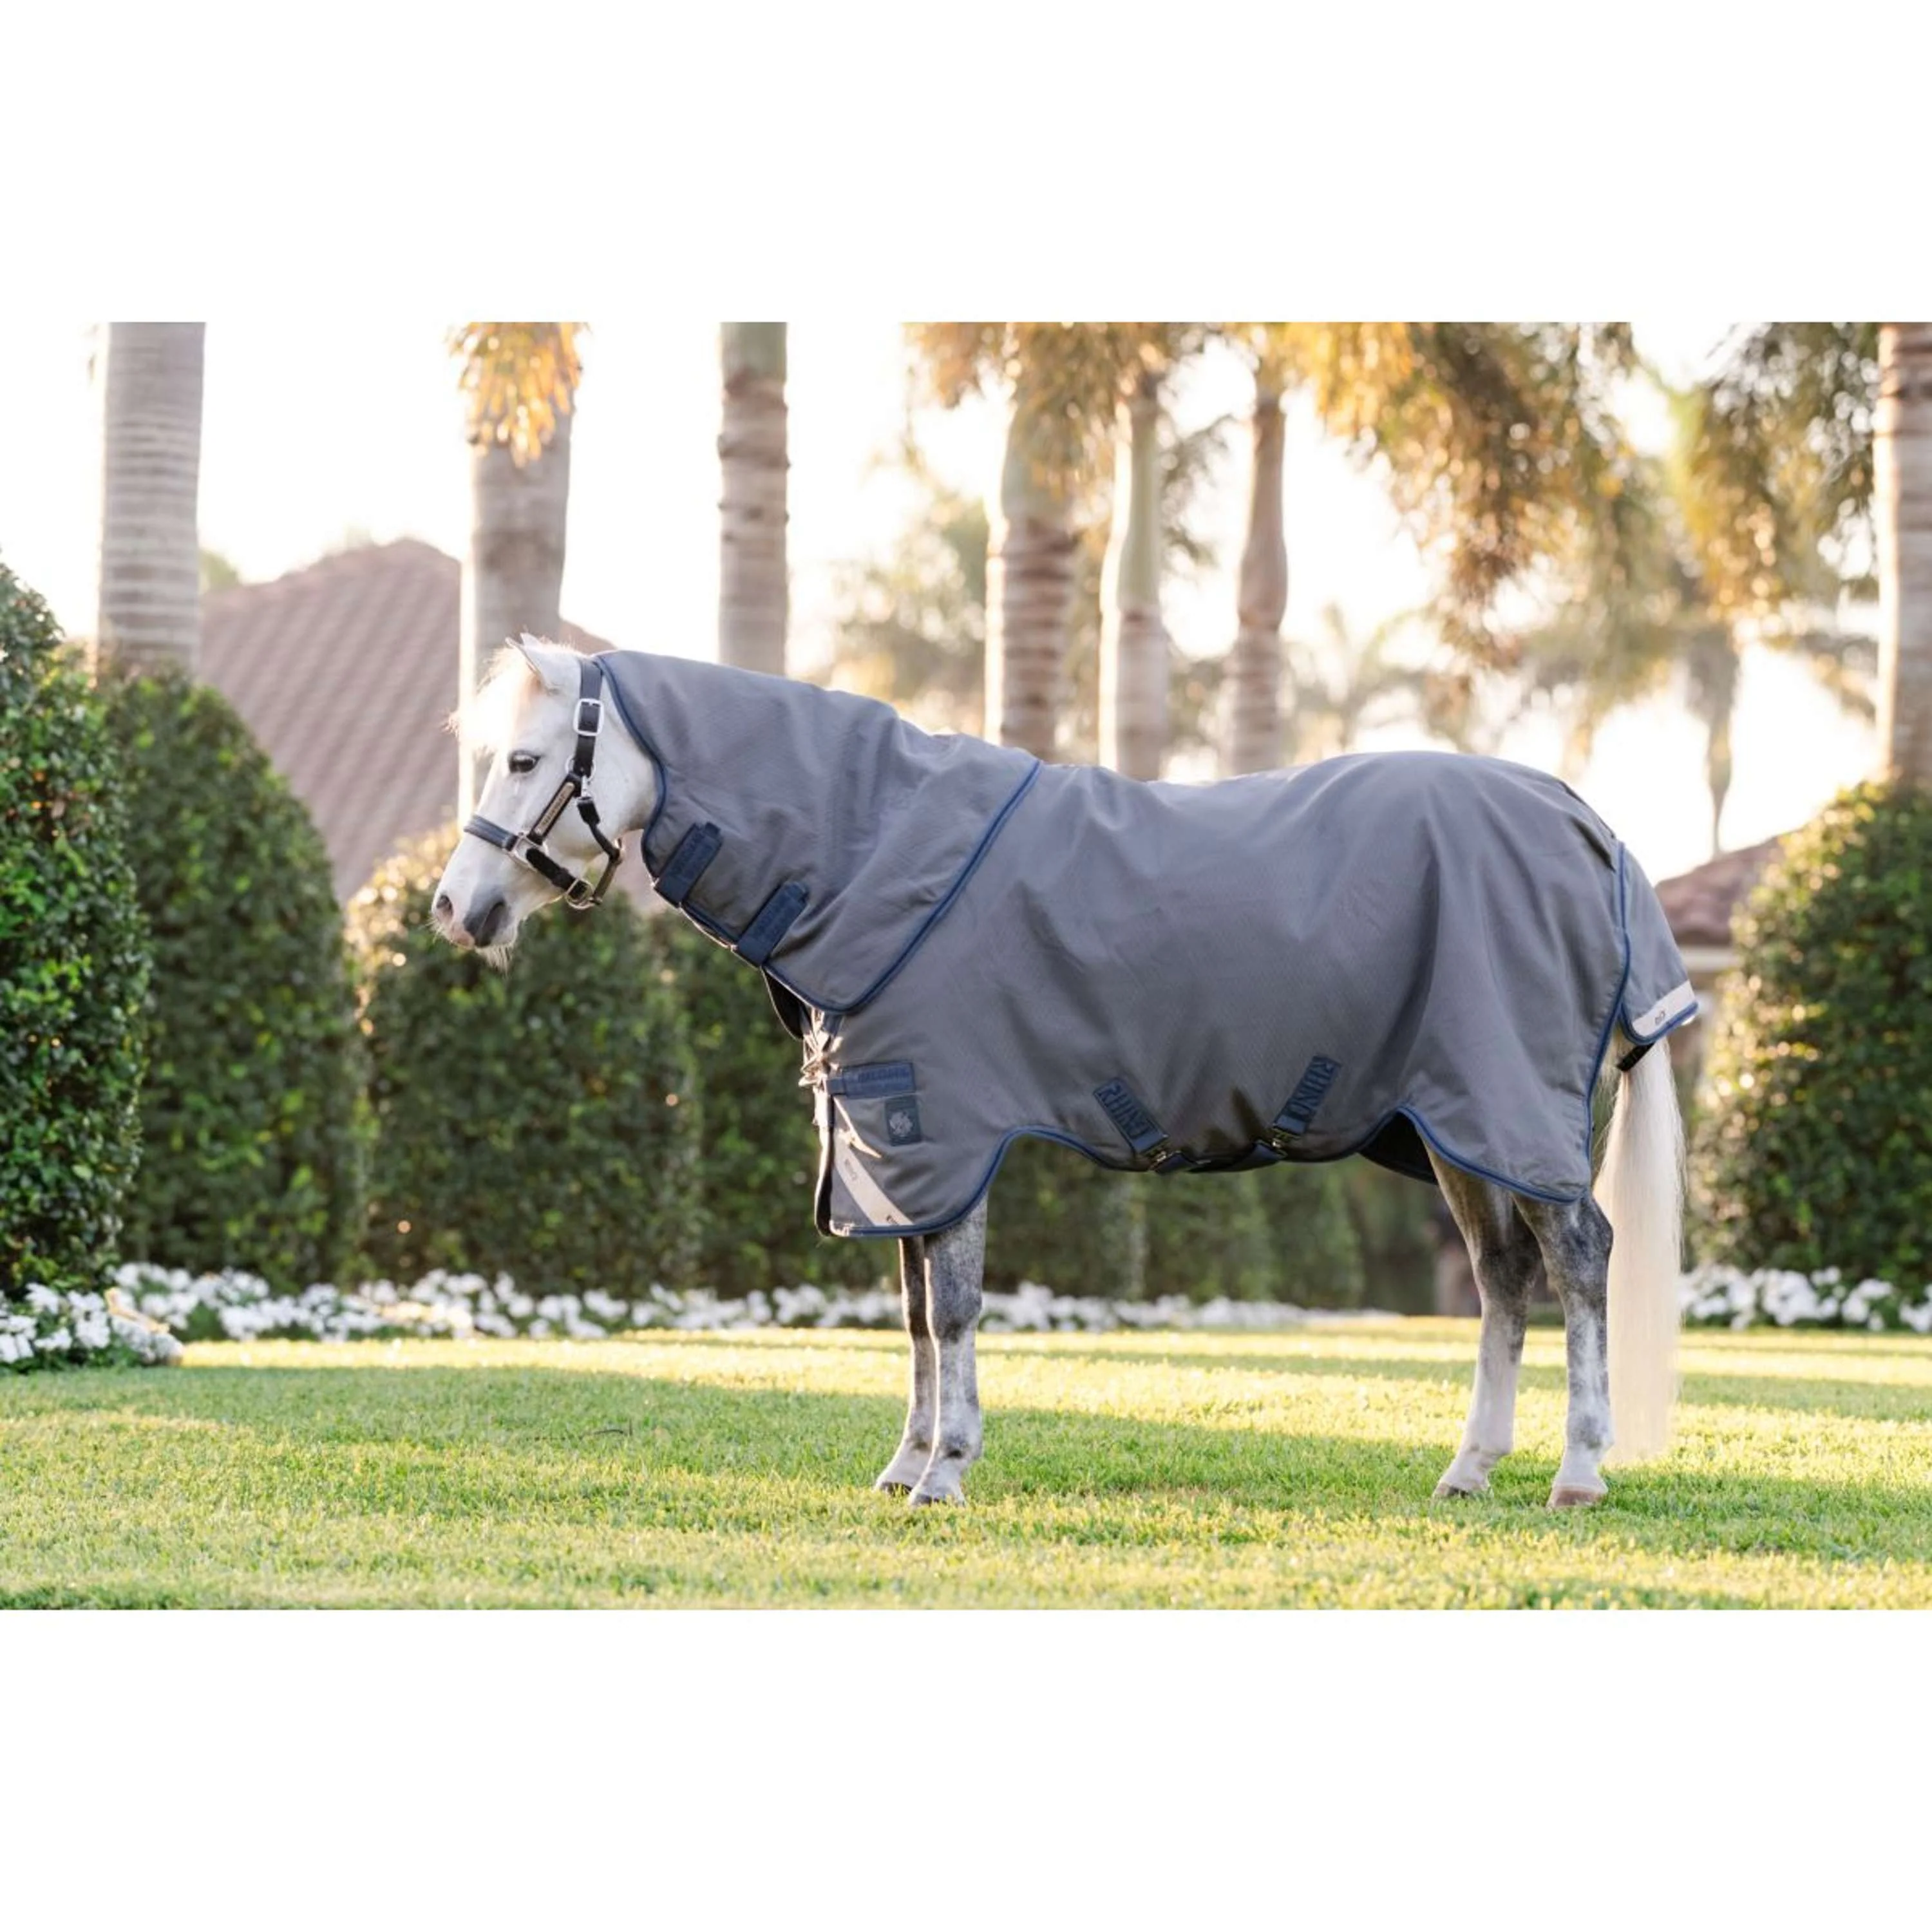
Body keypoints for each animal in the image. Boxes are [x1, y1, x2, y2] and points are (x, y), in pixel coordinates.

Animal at [434, 635, 1694, 1510]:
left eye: (526, 760)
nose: (454, 908)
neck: (872, 856)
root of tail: (1589, 826)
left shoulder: (942, 1131)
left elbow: (950, 1311)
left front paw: (946, 1473)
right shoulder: (897, 1150)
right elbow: (914, 1318)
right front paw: (904, 1466)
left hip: (1509, 1107)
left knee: (1580, 1260)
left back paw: (1579, 1471)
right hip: (1456, 1125)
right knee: (1502, 1280)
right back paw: (1470, 1470)